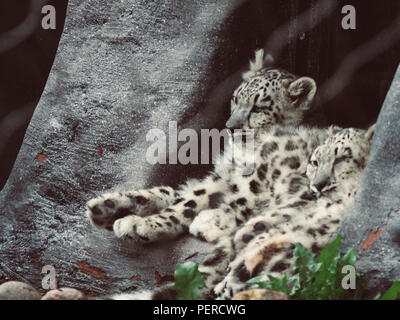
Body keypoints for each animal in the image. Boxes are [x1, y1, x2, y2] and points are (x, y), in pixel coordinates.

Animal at [86, 48, 376, 298]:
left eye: (259, 108)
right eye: (236, 98)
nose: (231, 125)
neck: (244, 153)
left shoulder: (255, 175)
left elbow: (193, 202)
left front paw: (144, 224)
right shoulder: (222, 174)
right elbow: (177, 192)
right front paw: (111, 208)